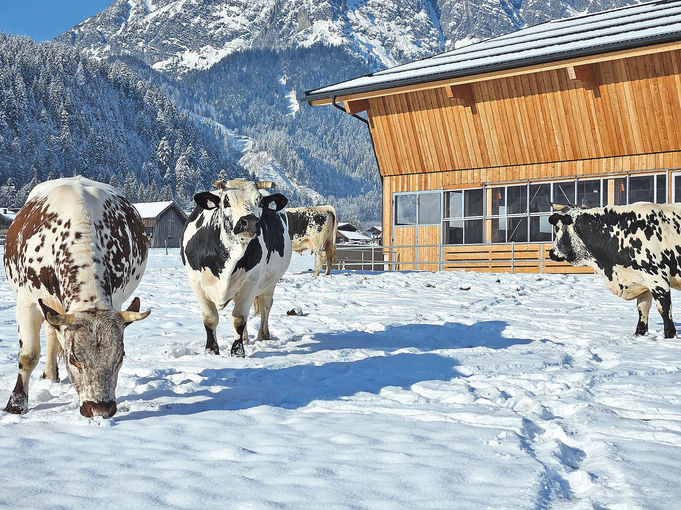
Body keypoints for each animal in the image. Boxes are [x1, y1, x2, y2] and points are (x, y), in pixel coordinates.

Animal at [2, 177, 151, 416]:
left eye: (120, 357)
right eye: (75, 359)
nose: (100, 409)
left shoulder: (116, 299)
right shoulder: (27, 302)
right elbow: (28, 355)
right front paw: (16, 403)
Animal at [179, 179, 290, 358]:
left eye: (259, 201)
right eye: (226, 201)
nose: (249, 221)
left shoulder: (251, 282)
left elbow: (239, 318)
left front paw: (237, 352)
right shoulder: (196, 282)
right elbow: (210, 318)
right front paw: (211, 350)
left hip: (270, 283)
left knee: (265, 306)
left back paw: (263, 335)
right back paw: (245, 338)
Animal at [548, 202, 681, 338]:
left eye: (557, 228)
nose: (551, 253)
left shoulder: (657, 277)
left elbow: (664, 308)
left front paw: (669, 335)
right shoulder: (642, 282)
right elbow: (643, 309)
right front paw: (639, 334)